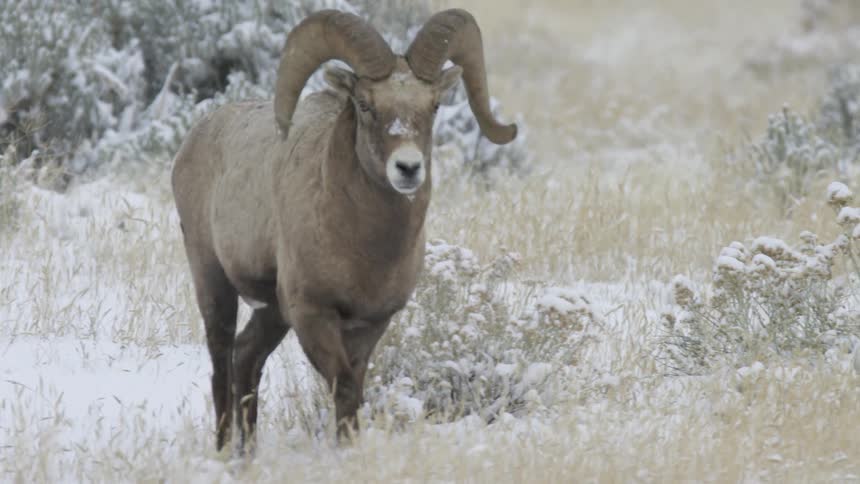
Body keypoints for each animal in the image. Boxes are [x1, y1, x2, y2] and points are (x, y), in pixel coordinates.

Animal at [171, 8, 517, 451]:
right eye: (366, 105)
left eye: (435, 105)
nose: (408, 168)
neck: (365, 247)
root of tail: (196, 137)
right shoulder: (313, 314)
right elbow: (346, 389)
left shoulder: (370, 324)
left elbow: (355, 391)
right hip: (214, 282)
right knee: (221, 364)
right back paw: (224, 453)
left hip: (272, 313)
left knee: (246, 357)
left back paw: (249, 455)